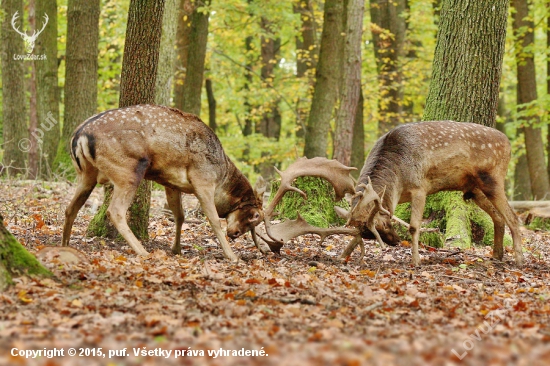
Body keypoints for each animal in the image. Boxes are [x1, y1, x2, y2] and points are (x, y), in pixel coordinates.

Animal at [62, 104, 266, 262]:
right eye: (255, 215)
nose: (235, 234)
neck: (221, 177)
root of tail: (79, 136)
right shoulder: (203, 179)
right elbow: (214, 219)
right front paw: (232, 256)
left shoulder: (171, 183)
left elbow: (180, 215)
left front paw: (176, 249)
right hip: (127, 170)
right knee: (115, 211)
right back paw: (143, 251)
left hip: (85, 175)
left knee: (70, 208)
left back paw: (64, 245)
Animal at [340, 120, 528, 266]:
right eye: (369, 233)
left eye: (384, 224)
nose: (396, 241)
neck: (398, 179)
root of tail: (508, 143)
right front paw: (344, 255)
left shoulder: (419, 187)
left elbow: (414, 226)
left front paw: (416, 260)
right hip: (475, 189)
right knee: (498, 217)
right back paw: (497, 255)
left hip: (494, 178)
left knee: (513, 218)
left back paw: (519, 260)